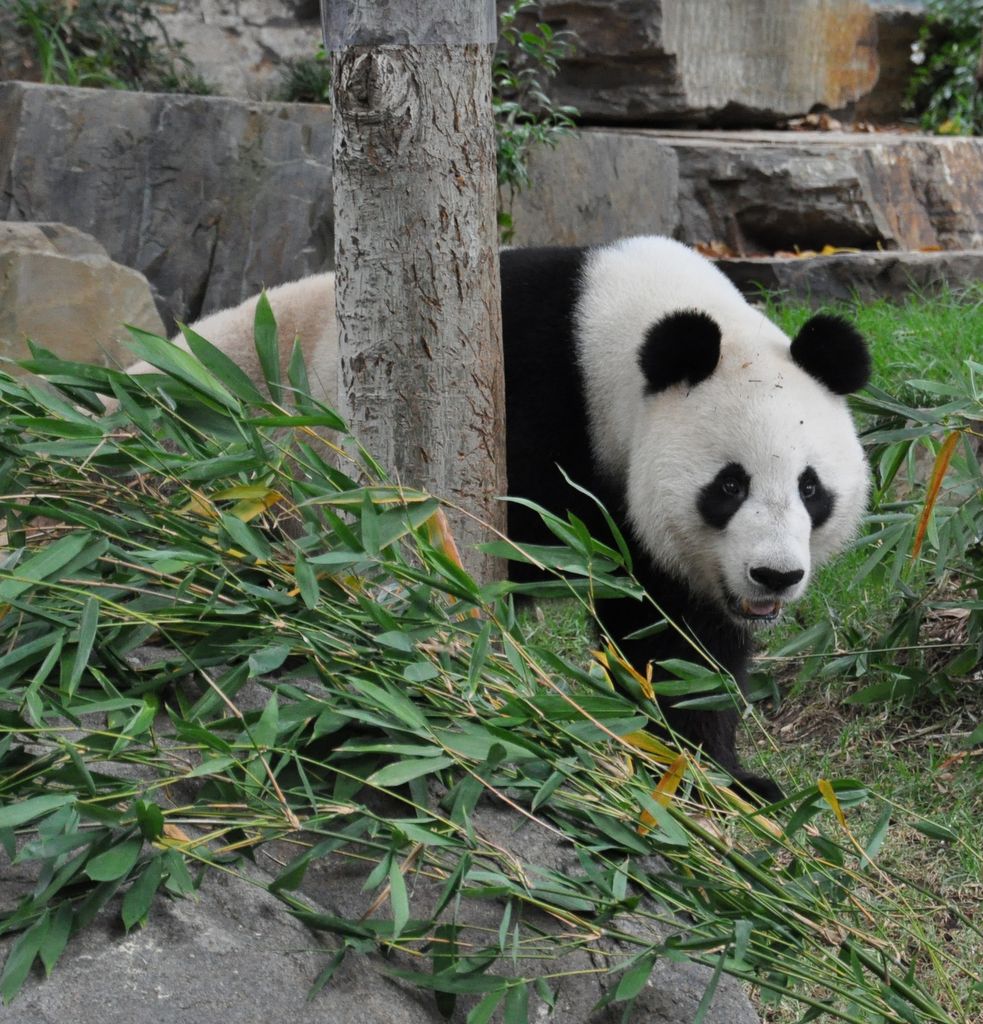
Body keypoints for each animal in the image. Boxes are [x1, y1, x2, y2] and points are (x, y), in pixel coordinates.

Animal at [127, 236, 871, 802]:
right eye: (729, 485)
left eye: (810, 488)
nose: (774, 576)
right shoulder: (526, 404)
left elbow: (680, 643)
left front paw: (722, 776)